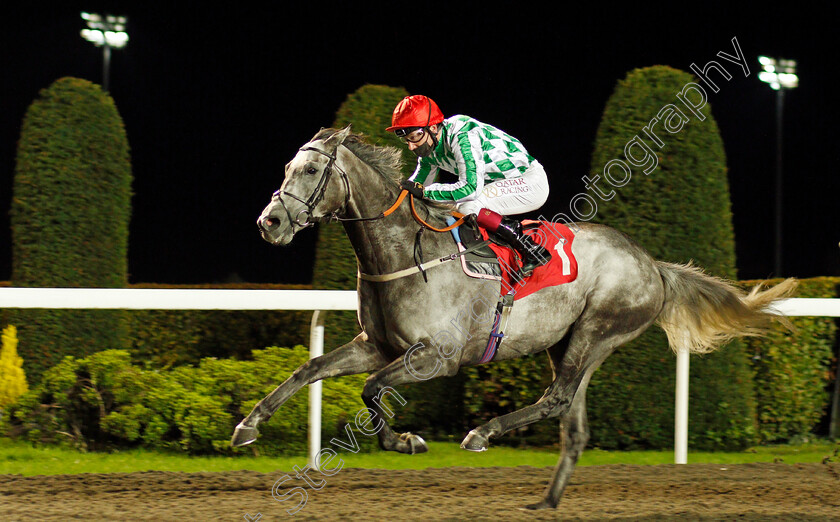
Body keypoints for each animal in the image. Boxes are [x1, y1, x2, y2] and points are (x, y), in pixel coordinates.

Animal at [233, 124, 796, 506]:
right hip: (568, 344)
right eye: (287, 169)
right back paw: (545, 502)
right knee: (572, 423)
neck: (402, 255)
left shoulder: (437, 358)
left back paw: (482, 434)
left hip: (597, 331)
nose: (269, 222)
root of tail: (651, 264)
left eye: (309, 170)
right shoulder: (377, 345)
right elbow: (309, 370)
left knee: (556, 399)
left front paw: (408, 441)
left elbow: (372, 389)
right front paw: (247, 427)